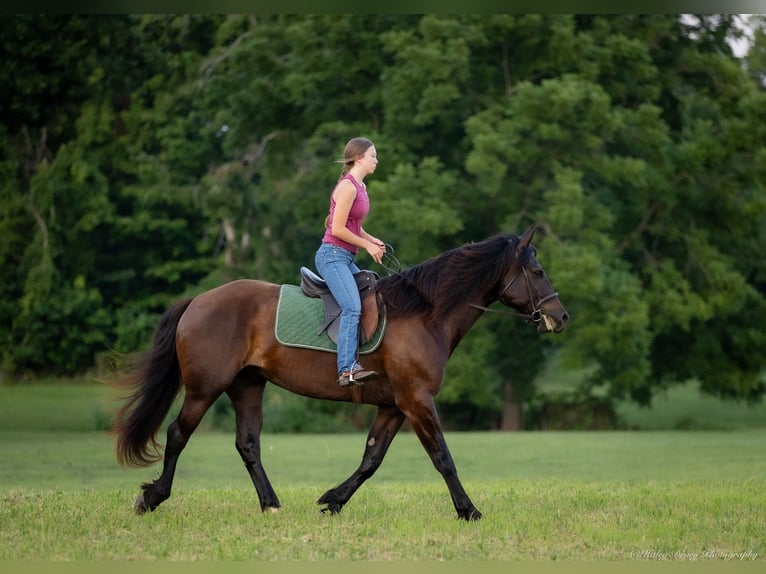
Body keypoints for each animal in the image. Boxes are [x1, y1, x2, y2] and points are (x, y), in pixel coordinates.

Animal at [114, 225, 568, 520]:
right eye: (538, 272)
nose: (560, 317)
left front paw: (333, 500)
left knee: (248, 444)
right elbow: (443, 458)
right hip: (205, 388)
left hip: (247, 386)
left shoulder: (394, 406)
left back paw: (271, 504)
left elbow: (371, 459)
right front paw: (468, 510)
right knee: (178, 434)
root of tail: (198, 301)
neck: (424, 313)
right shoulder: (417, 401)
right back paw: (152, 498)